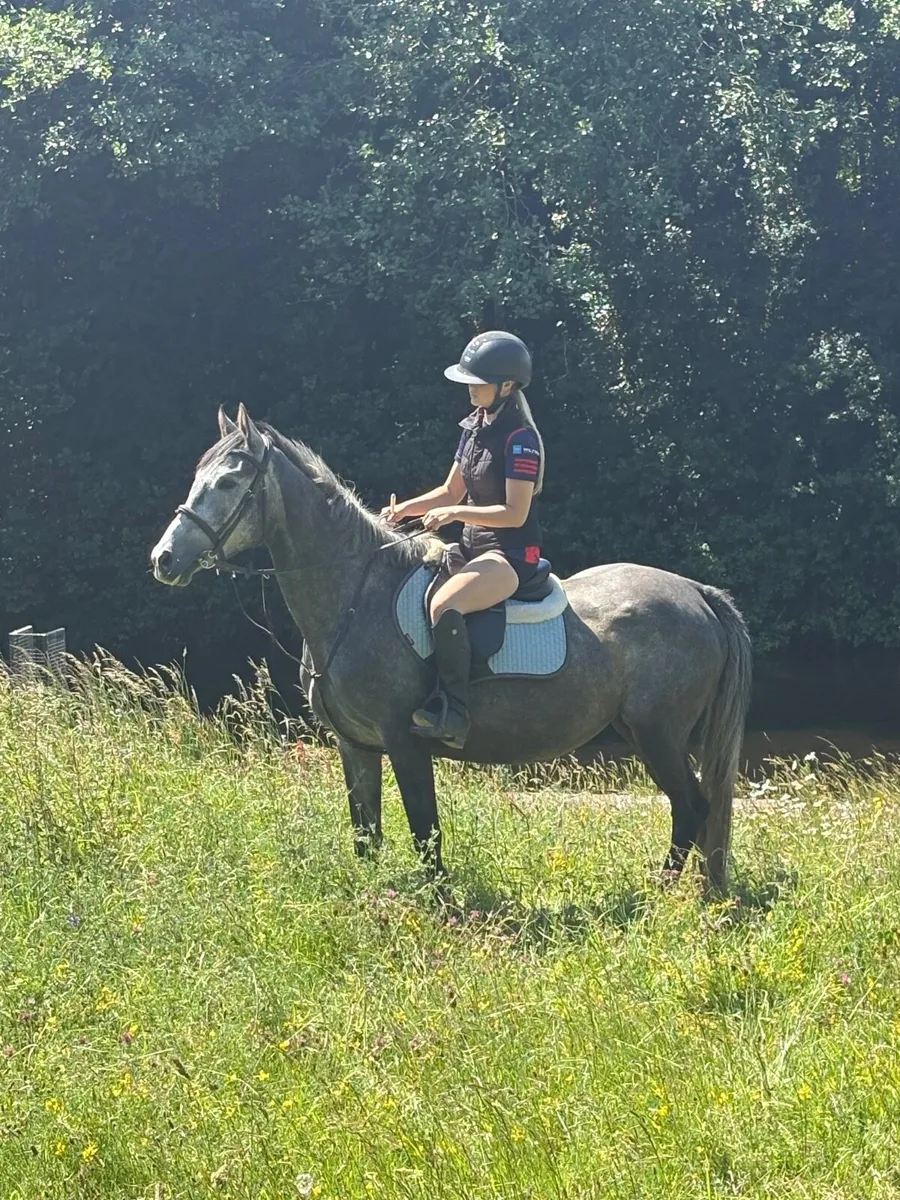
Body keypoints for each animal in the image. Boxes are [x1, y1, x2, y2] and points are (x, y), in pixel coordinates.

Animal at [151, 405, 751, 891]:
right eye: (198, 477)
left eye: (229, 483)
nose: (164, 559)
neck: (356, 597)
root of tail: (696, 592)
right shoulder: (356, 746)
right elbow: (366, 836)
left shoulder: (405, 742)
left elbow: (425, 833)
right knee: (694, 810)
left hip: (658, 734)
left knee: (691, 807)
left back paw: (664, 892)